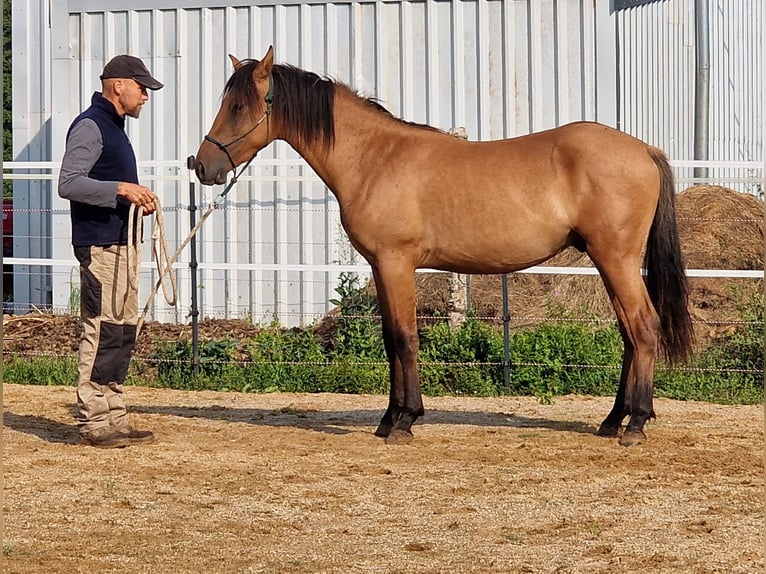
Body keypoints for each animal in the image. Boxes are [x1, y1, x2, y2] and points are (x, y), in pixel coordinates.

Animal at [194, 46, 693, 447]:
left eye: (238, 105)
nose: (201, 165)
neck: (375, 158)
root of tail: (643, 151)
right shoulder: (381, 266)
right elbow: (390, 339)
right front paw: (389, 418)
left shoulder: (397, 263)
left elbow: (404, 337)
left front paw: (404, 421)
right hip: (610, 263)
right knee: (629, 333)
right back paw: (613, 420)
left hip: (616, 260)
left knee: (643, 327)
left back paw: (635, 425)